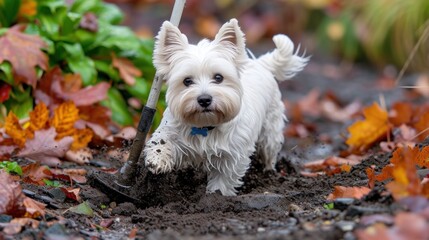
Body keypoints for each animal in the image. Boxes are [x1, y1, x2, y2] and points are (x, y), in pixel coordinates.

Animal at [144, 18, 308, 195]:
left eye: (218, 77)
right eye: (187, 81)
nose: (204, 99)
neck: (205, 126)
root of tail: (260, 64)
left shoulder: (232, 158)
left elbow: (223, 181)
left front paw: (216, 197)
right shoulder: (171, 130)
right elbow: (162, 141)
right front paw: (157, 160)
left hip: (270, 131)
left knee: (269, 152)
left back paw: (269, 173)